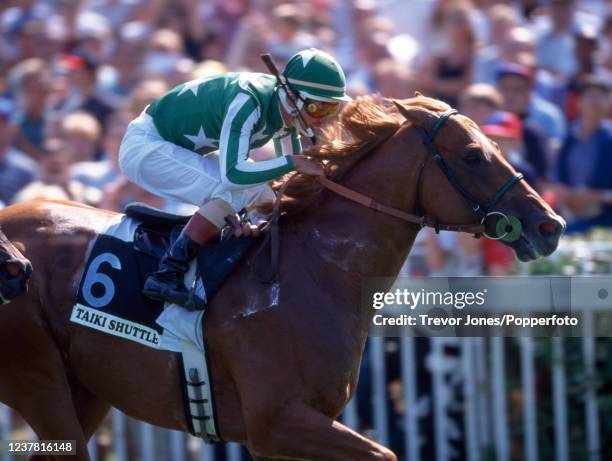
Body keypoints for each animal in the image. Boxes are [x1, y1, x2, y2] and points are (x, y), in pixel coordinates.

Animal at [0, 95, 560, 458]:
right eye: (473, 155)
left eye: (496, 145)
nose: (549, 226)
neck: (315, 269)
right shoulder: (277, 422)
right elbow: (385, 454)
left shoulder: (287, 431)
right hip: (38, 378)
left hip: (87, 389)